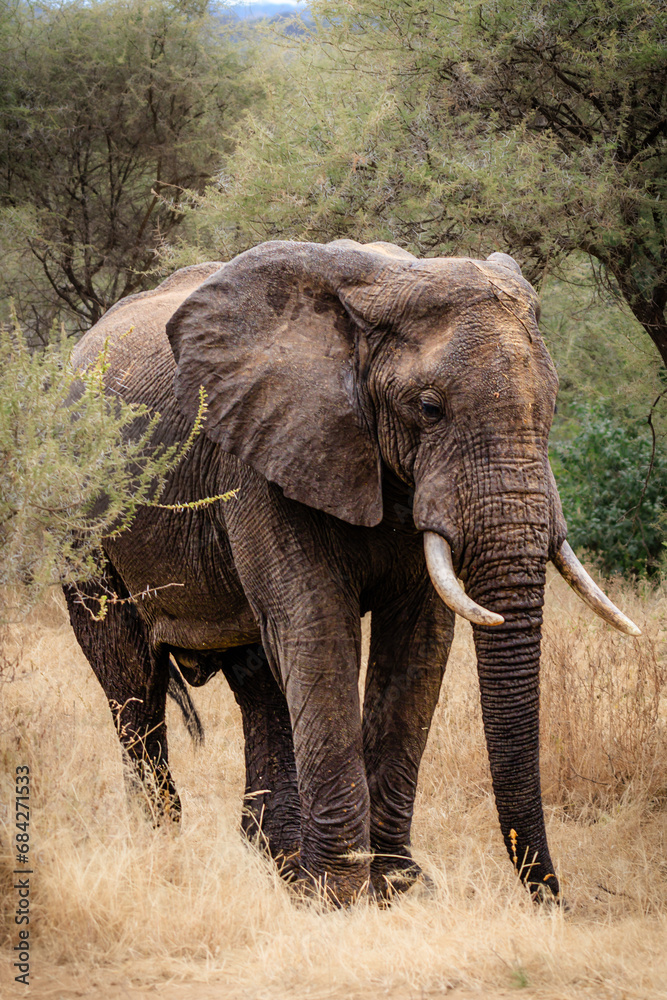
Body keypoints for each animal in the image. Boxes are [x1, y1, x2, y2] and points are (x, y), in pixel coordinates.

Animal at [64, 238, 640, 907]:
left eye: (553, 403)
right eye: (429, 408)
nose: (554, 903)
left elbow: (417, 647)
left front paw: (396, 889)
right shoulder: (268, 455)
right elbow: (318, 627)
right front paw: (335, 899)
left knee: (258, 677)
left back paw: (276, 861)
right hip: (82, 516)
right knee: (128, 669)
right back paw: (163, 844)